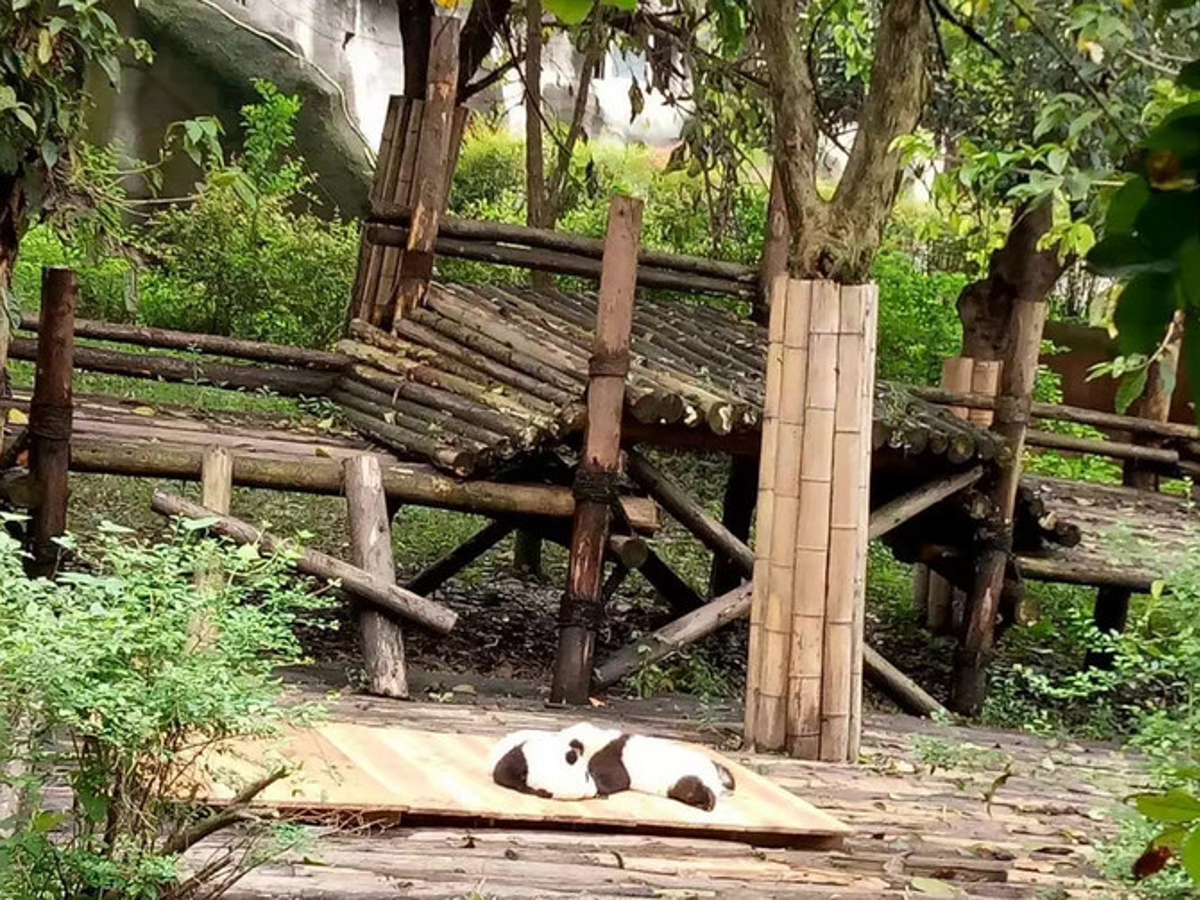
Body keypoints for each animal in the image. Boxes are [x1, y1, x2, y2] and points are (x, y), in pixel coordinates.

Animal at [558, 722, 736, 812]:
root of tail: (716, 781)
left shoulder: (610, 755)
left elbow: (618, 779)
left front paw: (599, 792)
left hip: (682, 777)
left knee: (690, 788)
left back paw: (707, 801)